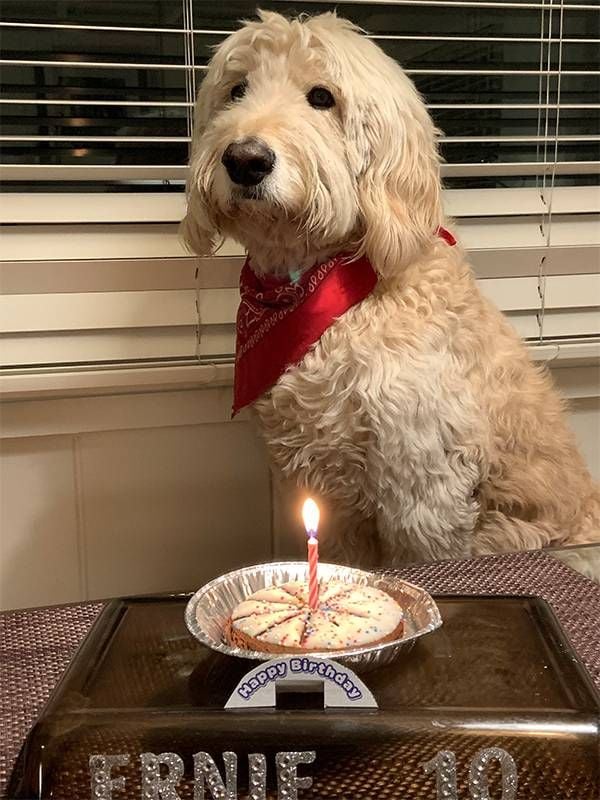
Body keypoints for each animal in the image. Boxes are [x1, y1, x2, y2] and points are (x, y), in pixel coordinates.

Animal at [183, 10, 600, 564]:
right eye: (237, 90)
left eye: (322, 97)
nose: (245, 159)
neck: (320, 285)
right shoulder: (325, 482)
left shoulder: (420, 482)